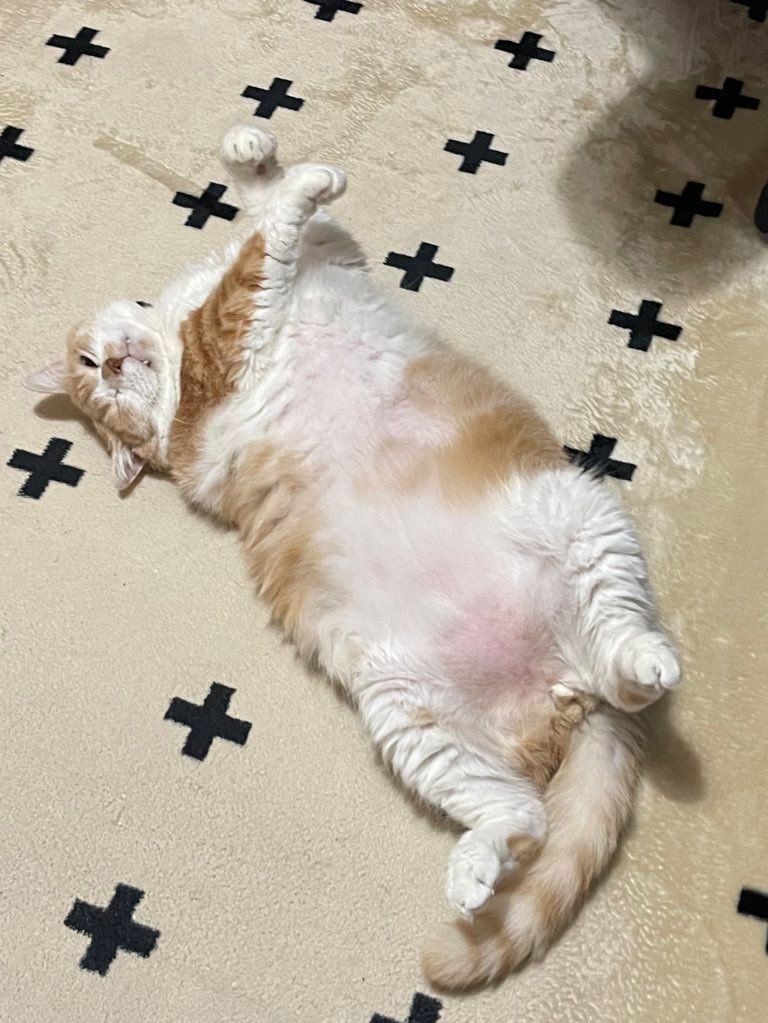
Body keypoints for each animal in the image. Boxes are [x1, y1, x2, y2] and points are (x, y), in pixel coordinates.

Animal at [25, 125, 680, 990]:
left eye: (92, 372)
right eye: (102, 395)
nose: (114, 367)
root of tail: (565, 685)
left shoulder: (334, 256)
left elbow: (265, 201)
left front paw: (252, 148)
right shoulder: (227, 339)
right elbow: (268, 235)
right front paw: (301, 176)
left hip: (516, 592)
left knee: (559, 762)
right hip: (426, 694)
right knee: (549, 785)